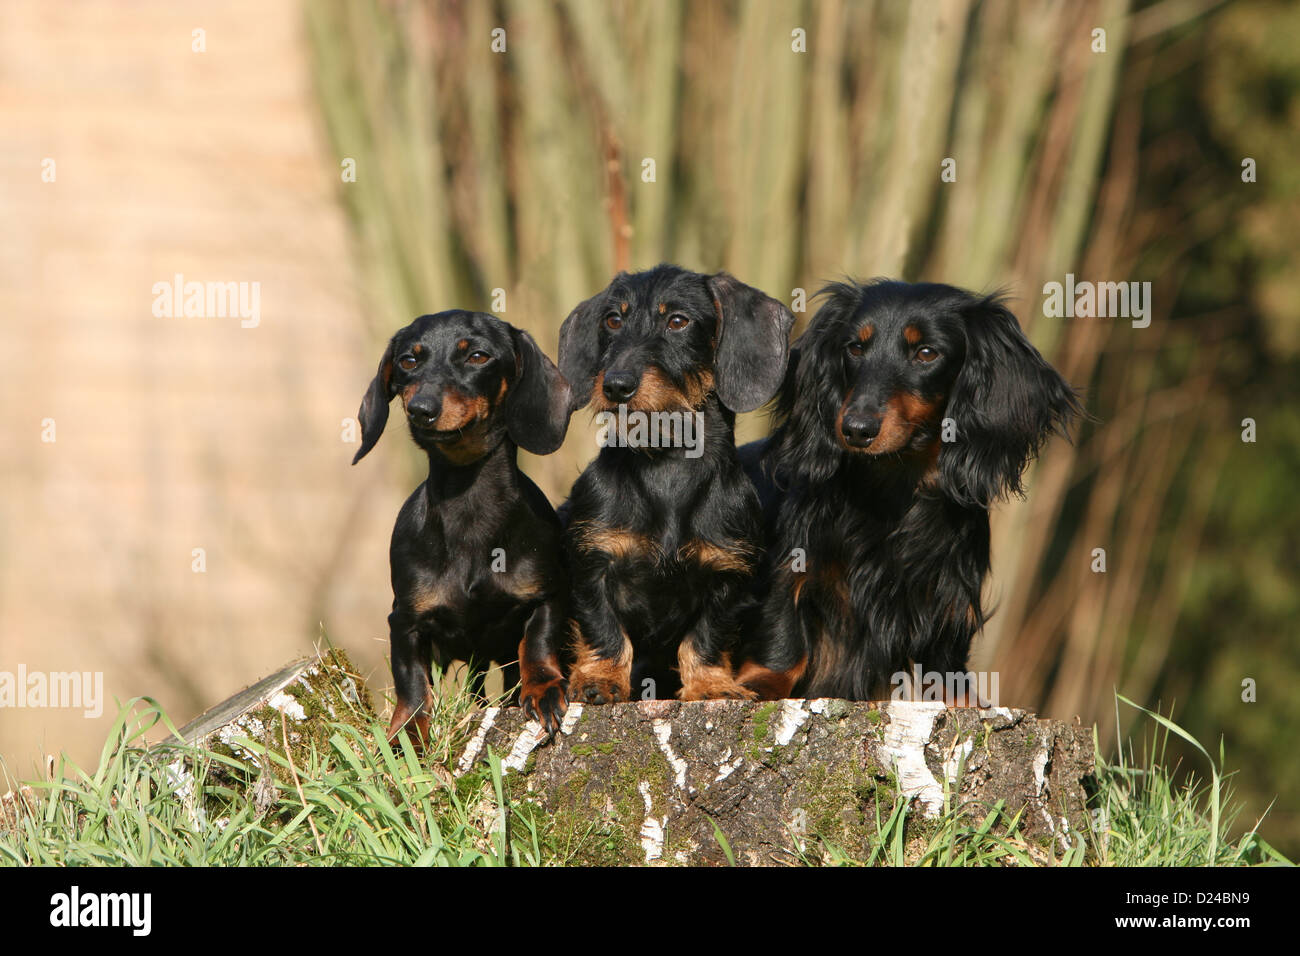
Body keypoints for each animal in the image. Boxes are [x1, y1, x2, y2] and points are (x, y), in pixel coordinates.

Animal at [356, 310, 579, 743]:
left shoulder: (546, 597)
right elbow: (412, 686)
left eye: (477, 356)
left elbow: (537, 646)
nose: (421, 409)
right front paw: (407, 736)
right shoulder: (404, 622)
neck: (469, 507)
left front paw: (543, 690)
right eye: (408, 360)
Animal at [556, 261, 790, 702]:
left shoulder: (727, 573)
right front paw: (600, 679)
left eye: (678, 321)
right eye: (613, 320)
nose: (615, 385)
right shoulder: (593, 561)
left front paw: (711, 685)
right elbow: (604, 628)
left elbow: (706, 636)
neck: (668, 465)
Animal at [738, 280, 1081, 697]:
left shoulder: (945, 607)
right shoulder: (793, 566)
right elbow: (784, 631)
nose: (856, 429)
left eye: (927, 353)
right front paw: (759, 684)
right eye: (855, 348)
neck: (895, 487)